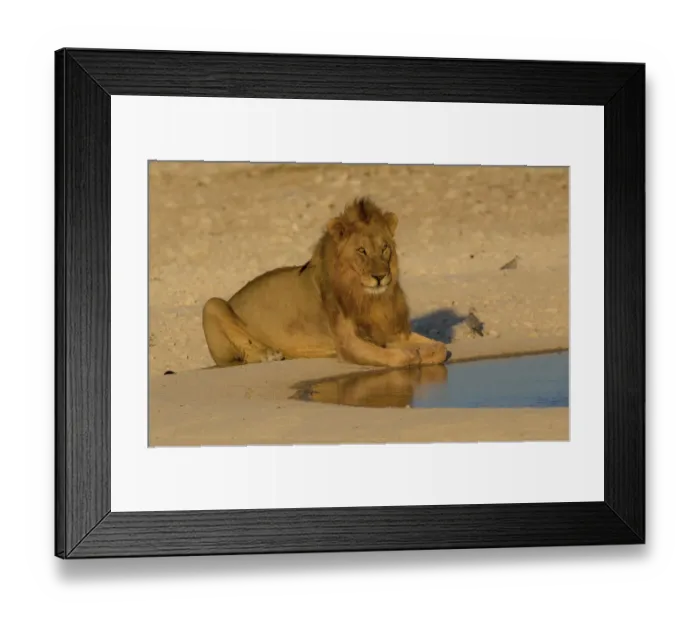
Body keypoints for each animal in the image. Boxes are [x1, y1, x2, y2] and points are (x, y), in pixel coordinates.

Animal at [202, 197, 449, 368]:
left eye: (384, 248)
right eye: (362, 251)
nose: (380, 277)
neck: (367, 297)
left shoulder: (391, 332)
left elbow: (441, 348)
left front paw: (428, 351)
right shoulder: (347, 343)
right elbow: (397, 357)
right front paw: (412, 355)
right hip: (212, 304)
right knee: (241, 356)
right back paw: (269, 354)